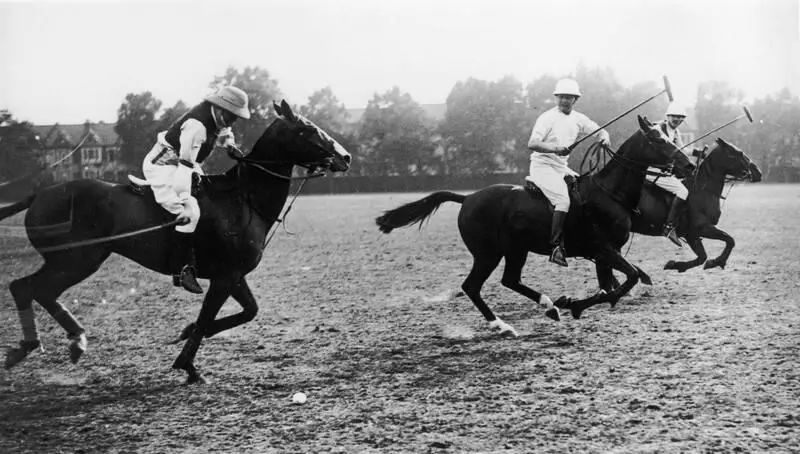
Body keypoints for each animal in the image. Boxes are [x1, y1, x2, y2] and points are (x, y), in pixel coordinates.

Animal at [0, 100, 350, 384]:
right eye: (308, 129)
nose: (345, 157)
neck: (243, 199)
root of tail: (39, 193)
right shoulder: (225, 276)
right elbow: (209, 318)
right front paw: (188, 365)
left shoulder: (234, 275)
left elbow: (248, 311)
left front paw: (186, 335)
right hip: (75, 260)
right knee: (28, 287)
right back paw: (44, 344)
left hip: (74, 260)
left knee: (35, 290)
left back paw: (67, 342)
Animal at [378, 115, 680, 332]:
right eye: (657, 139)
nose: (686, 164)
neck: (609, 192)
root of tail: (467, 198)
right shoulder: (602, 249)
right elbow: (627, 279)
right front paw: (574, 305)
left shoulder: (607, 253)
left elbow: (615, 285)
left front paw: (571, 303)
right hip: (488, 253)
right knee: (472, 286)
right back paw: (502, 325)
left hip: (515, 249)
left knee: (510, 279)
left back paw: (548, 306)